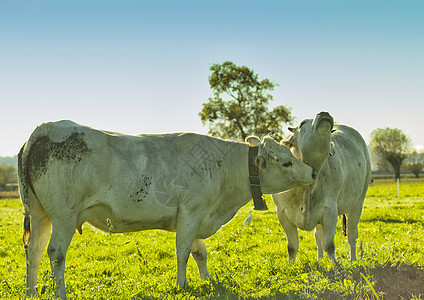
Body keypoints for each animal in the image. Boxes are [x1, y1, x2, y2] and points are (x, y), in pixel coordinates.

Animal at [19, 119, 316, 298]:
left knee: (33, 252)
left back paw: (31, 291)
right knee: (55, 253)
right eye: (287, 163)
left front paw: (207, 281)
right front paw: (182, 285)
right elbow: (183, 252)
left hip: (40, 214)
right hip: (63, 216)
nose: (313, 172)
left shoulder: (197, 215)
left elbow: (200, 253)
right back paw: (60, 294)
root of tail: (47, 127)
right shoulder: (191, 212)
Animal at [272, 112, 372, 262]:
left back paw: (353, 260)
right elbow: (292, 247)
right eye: (302, 123)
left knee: (351, 234)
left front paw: (335, 265)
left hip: (357, 203)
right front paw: (290, 265)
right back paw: (319, 259)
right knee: (318, 236)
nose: (324, 113)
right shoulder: (282, 213)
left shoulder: (330, 212)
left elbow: (329, 245)